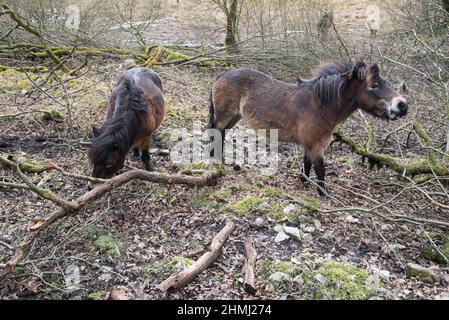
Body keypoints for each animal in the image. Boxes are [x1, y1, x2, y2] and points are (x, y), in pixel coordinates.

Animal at [208, 60, 408, 195]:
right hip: (224, 116)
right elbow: (320, 168)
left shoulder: (310, 144)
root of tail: (222, 75)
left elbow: (307, 164)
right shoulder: (316, 145)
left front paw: (303, 182)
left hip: (234, 117)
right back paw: (214, 160)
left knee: (221, 134)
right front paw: (323, 193)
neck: (320, 104)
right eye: (374, 85)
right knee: (216, 133)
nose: (403, 105)